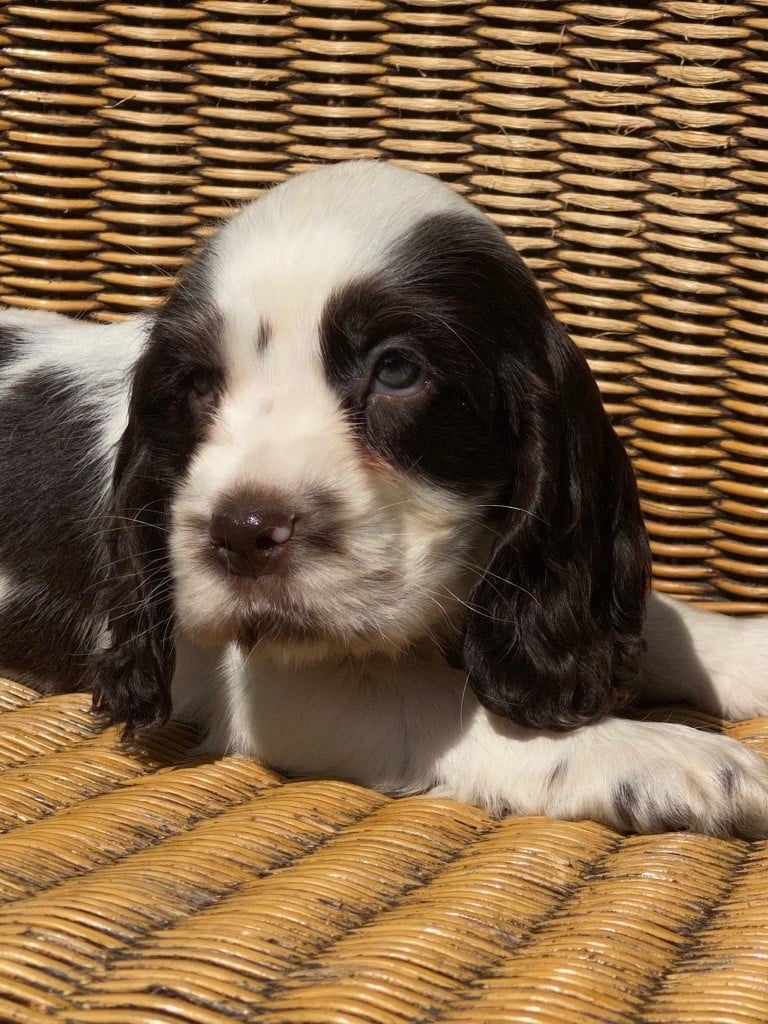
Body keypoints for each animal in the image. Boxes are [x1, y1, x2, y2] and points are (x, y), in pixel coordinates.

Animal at [1, 157, 768, 831]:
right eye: (196, 385)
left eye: (397, 370)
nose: (243, 533)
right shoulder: (272, 685)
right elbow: (444, 708)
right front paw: (658, 755)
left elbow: (657, 622)